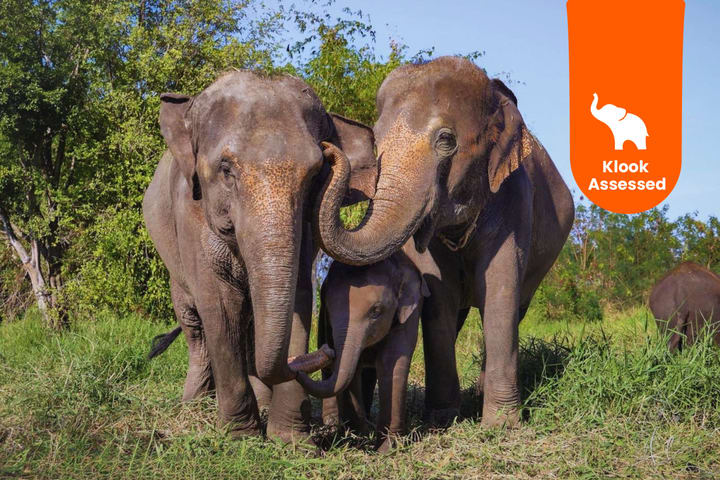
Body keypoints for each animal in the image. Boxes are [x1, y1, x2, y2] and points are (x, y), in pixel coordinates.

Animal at [143, 70, 377, 442]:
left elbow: (298, 298)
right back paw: (194, 404)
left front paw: (292, 440)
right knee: (195, 324)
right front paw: (240, 435)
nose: (326, 351)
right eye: (226, 169)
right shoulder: (190, 212)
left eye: (316, 173)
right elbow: (218, 304)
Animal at [294, 240, 428, 452]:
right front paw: (359, 436)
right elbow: (352, 369)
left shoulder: (410, 312)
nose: (327, 350)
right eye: (329, 309)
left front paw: (387, 448)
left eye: (376, 311)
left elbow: (392, 362)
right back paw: (333, 425)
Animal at [312, 57, 575, 427]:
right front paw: (441, 420)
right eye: (376, 143)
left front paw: (501, 425)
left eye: (446, 140)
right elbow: (439, 295)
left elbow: (501, 289)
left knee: (516, 306)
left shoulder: (515, 196)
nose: (327, 148)